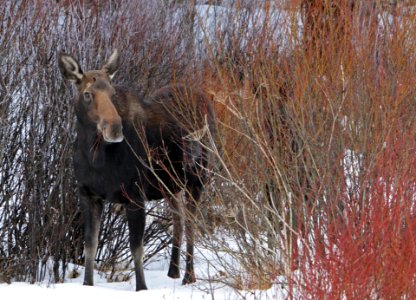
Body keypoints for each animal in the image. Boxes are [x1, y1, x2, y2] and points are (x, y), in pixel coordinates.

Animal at [58, 49, 214, 290]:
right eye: (87, 94)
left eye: (113, 93)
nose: (114, 128)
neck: (96, 157)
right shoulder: (87, 194)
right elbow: (90, 246)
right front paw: (87, 285)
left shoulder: (134, 195)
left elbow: (136, 248)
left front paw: (142, 288)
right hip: (169, 185)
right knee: (178, 218)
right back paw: (173, 272)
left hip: (197, 179)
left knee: (191, 223)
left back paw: (189, 276)